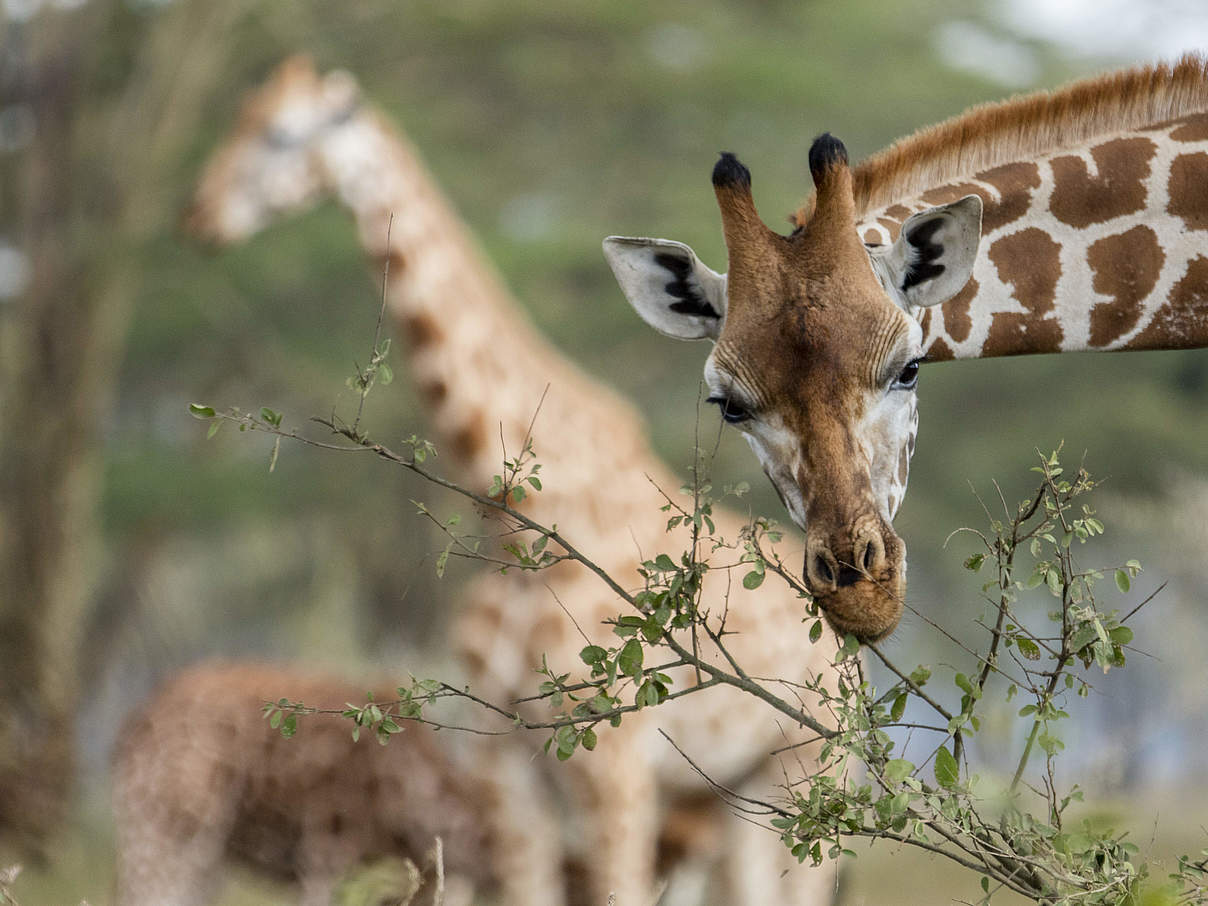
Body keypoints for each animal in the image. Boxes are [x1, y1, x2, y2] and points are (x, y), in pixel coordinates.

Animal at [176, 58, 840, 906]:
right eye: (239, 117)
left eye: (282, 134)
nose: (200, 216)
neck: (521, 516)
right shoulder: (502, 760)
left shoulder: (613, 754)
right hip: (723, 794)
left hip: (806, 771)